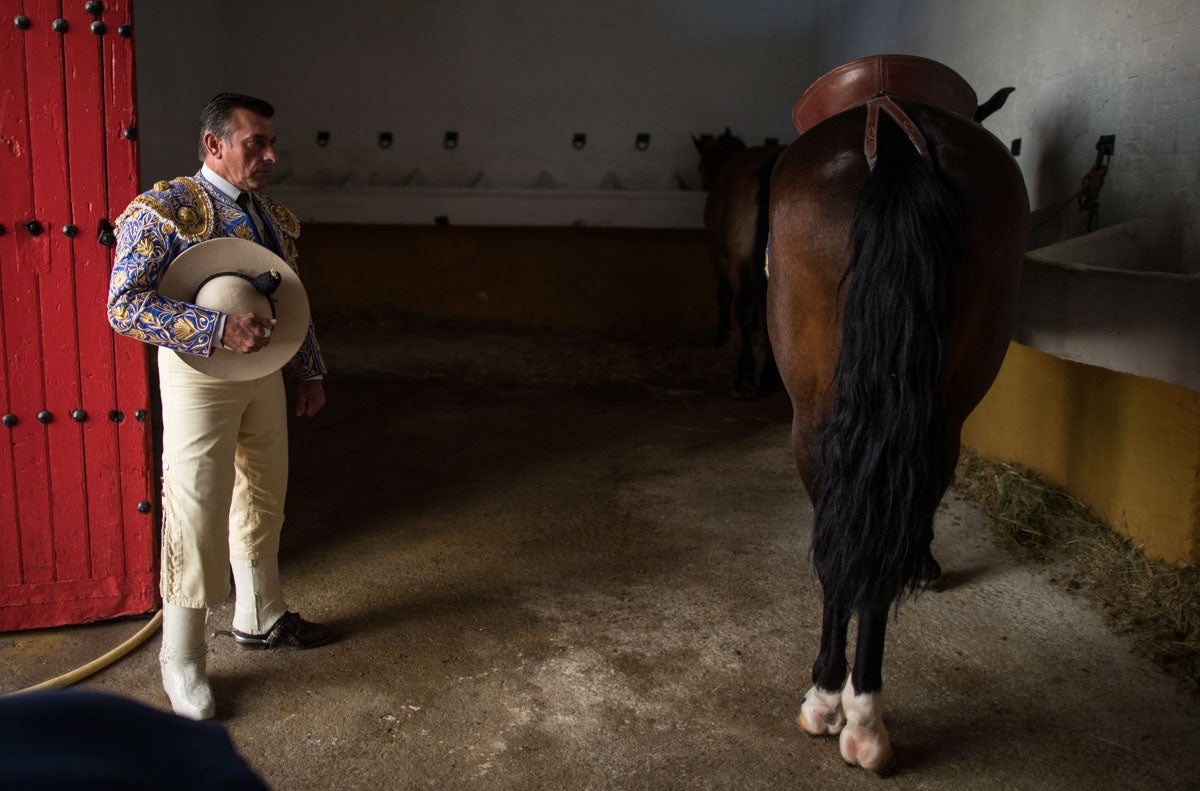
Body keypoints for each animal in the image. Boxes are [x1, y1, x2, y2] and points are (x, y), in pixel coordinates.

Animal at [696, 133, 787, 403]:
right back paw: (769, 375)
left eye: (701, 167)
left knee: (744, 307)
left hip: (739, 261)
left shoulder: (720, 258)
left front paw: (722, 335)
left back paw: (746, 377)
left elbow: (724, 295)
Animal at [763, 58, 1027, 777]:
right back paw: (851, 706)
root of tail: (897, 133)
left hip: (820, 413)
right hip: (923, 407)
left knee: (848, 537)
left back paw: (843, 705)